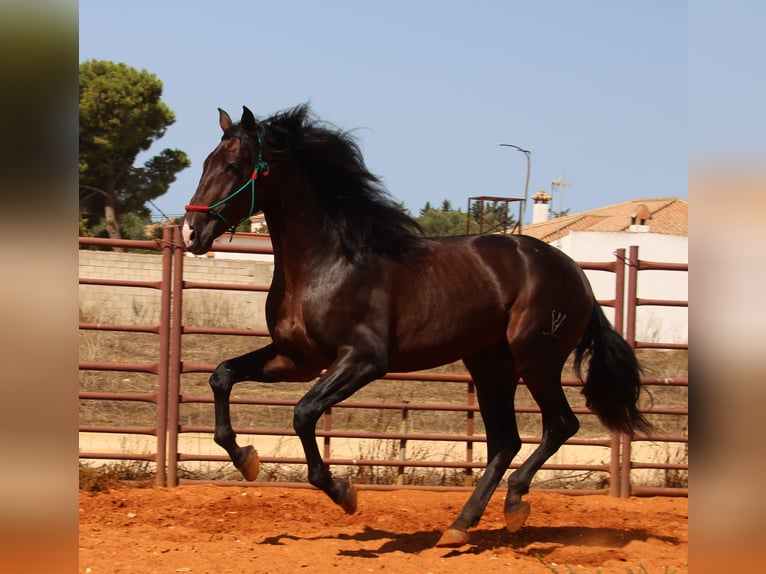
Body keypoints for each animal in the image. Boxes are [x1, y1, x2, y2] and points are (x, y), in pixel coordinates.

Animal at [182, 104, 656, 548]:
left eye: (233, 166)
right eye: (206, 162)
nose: (190, 232)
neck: (328, 264)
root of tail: (577, 275)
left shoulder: (363, 361)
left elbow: (303, 413)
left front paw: (343, 493)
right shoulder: (297, 359)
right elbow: (222, 375)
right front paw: (245, 458)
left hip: (536, 359)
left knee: (560, 425)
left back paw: (514, 505)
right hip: (491, 365)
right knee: (505, 441)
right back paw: (459, 527)